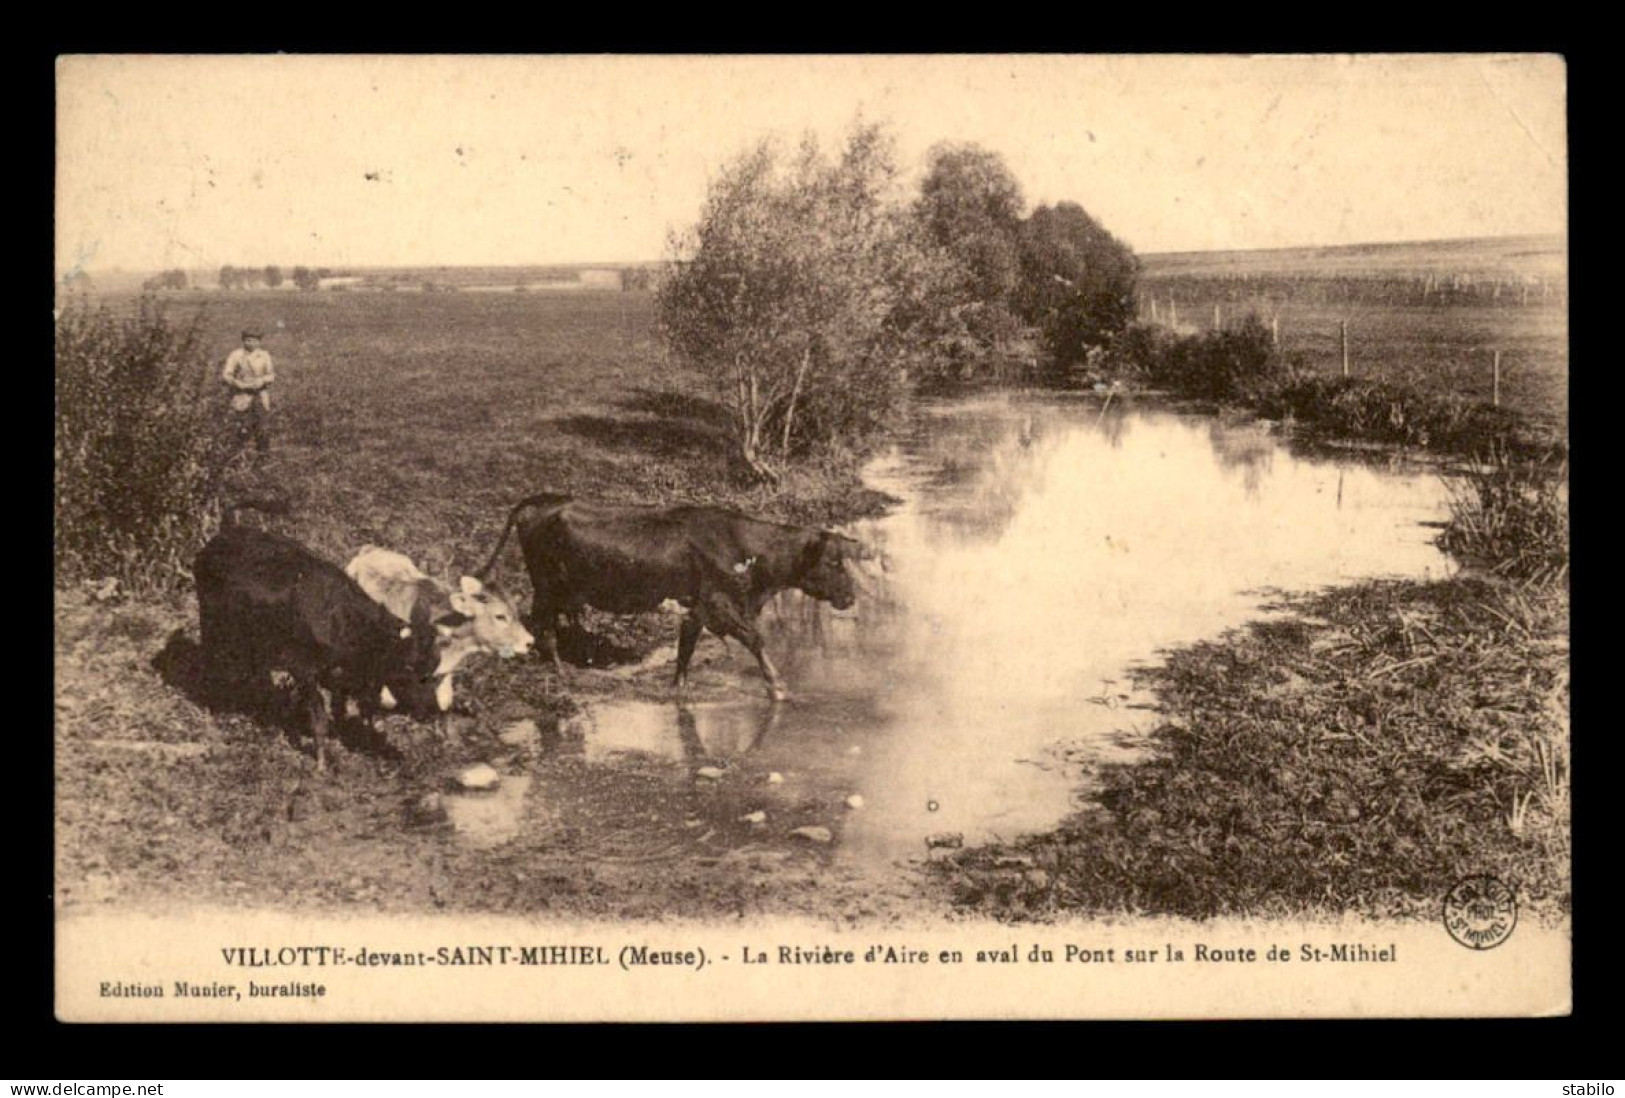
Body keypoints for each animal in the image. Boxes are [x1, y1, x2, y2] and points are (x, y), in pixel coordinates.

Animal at [474, 493, 864, 698]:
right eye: (833, 561)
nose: (851, 596)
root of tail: (542, 501)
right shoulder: (719, 604)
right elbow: (754, 638)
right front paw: (777, 685)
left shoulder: (697, 608)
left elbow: (686, 646)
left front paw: (679, 687)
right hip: (547, 587)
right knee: (543, 628)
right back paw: (560, 672)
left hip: (561, 591)